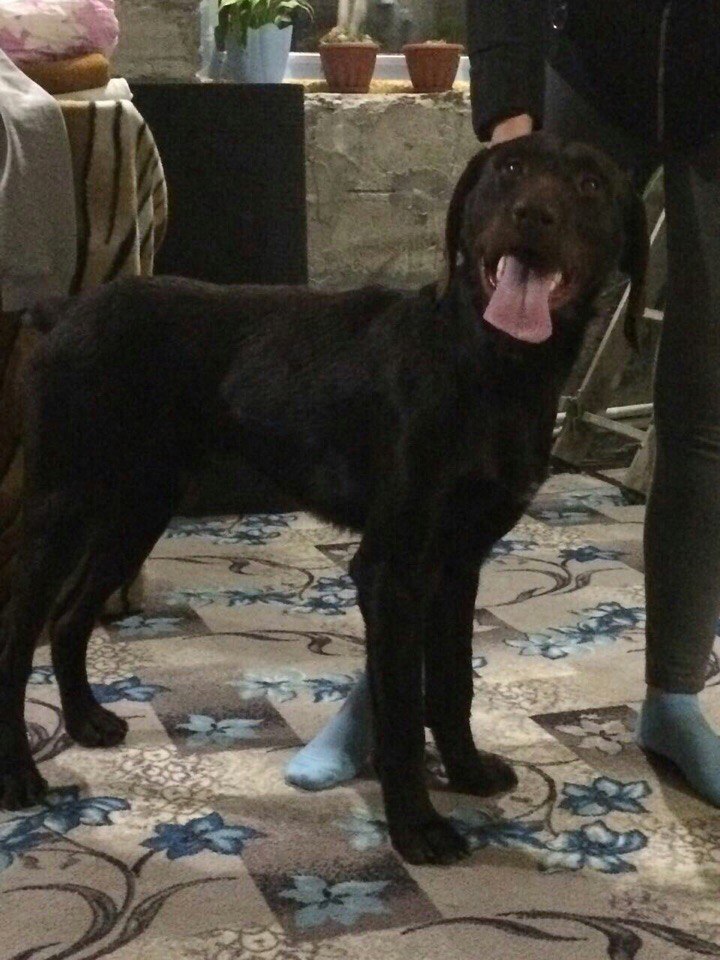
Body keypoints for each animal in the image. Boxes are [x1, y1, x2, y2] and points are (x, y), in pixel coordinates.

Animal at [0, 133, 648, 865]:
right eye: (509, 168)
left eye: (591, 184)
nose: (533, 214)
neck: (491, 365)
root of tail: (66, 311)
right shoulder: (392, 569)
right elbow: (403, 710)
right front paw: (416, 827)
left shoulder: (459, 563)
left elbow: (453, 682)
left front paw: (467, 772)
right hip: (60, 508)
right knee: (17, 639)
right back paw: (19, 772)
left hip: (133, 513)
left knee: (70, 618)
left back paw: (84, 719)